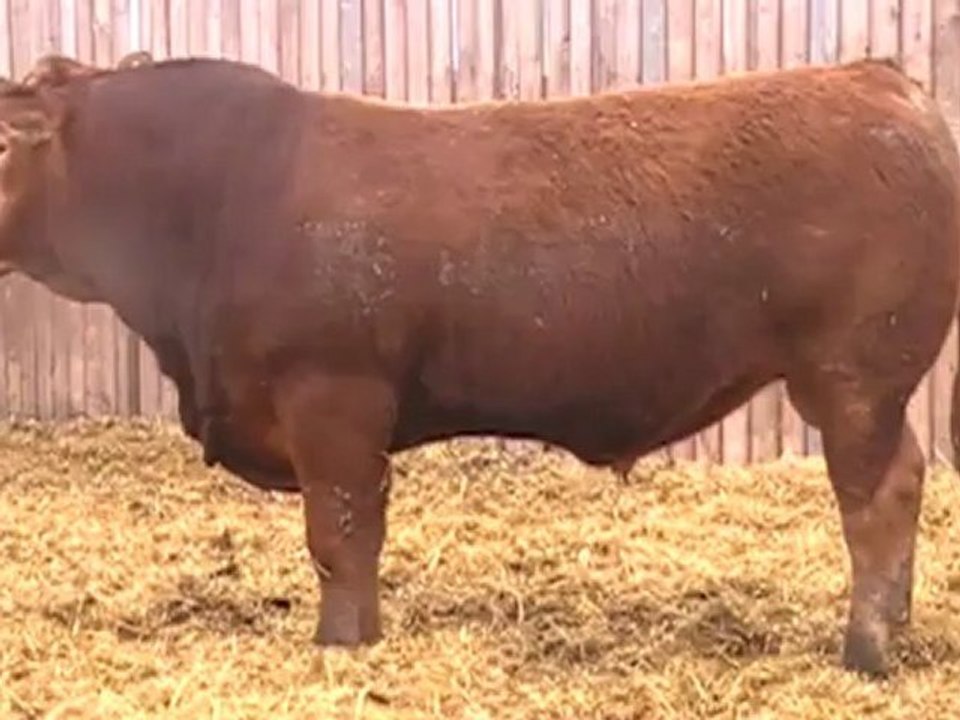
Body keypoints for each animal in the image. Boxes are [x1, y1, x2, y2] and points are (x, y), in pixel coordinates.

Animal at [0, 52, 957, 679]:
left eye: (3, 143)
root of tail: (879, 80)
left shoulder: (333, 398)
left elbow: (340, 534)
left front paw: (341, 645)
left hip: (854, 377)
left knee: (877, 497)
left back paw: (866, 649)